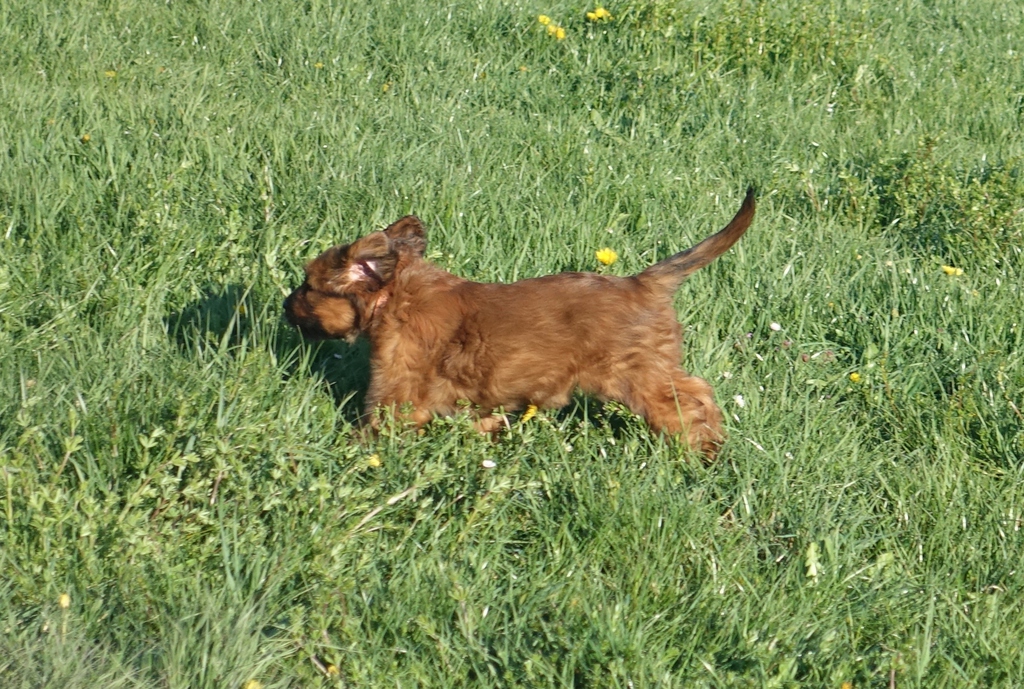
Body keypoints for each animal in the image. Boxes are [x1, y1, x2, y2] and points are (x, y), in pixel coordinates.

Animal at [284, 189, 755, 458]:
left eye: (307, 287)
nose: (285, 306)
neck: (394, 296)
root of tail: (641, 282)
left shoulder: (395, 392)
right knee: (698, 393)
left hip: (639, 374)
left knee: (690, 404)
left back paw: (702, 453)